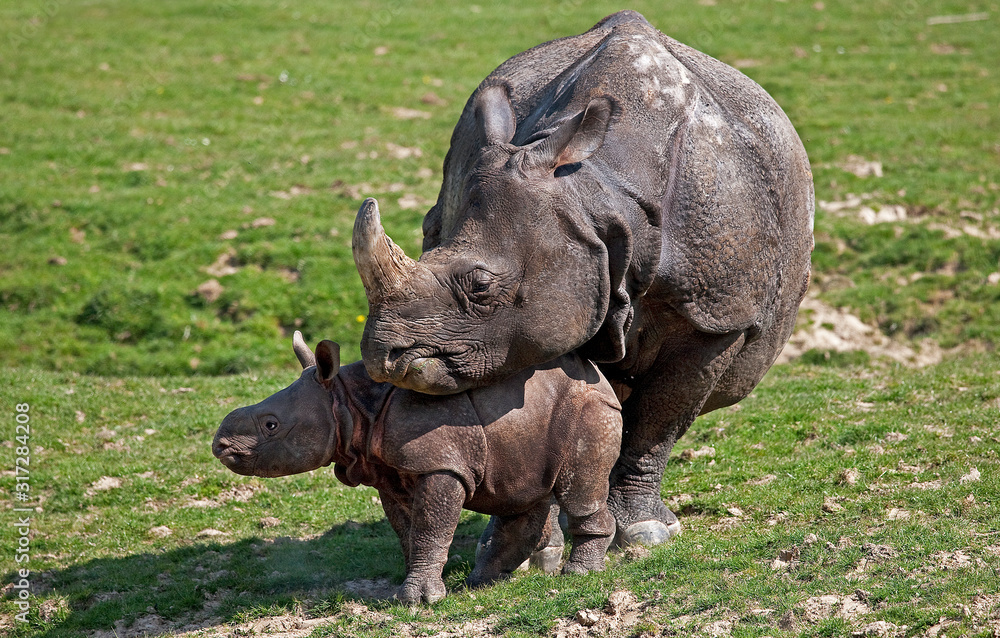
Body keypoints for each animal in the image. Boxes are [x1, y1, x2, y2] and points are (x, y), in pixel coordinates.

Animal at [212, 332, 622, 603]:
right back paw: (482, 582)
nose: (220, 446)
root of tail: (601, 377)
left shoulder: (440, 463)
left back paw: (579, 573)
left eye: (271, 425)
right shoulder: (387, 471)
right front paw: (409, 589)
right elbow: (407, 530)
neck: (347, 403)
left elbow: (430, 527)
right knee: (517, 494)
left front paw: (418, 600)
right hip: (527, 422)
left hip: (587, 406)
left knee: (578, 488)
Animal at [352, 10, 814, 546]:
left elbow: (661, 416)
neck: (595, 196)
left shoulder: (718, 315)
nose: (382, 357)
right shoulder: (552, 307)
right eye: (429, 240)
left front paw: (645, 532)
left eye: (481, 287)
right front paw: (536, 539)